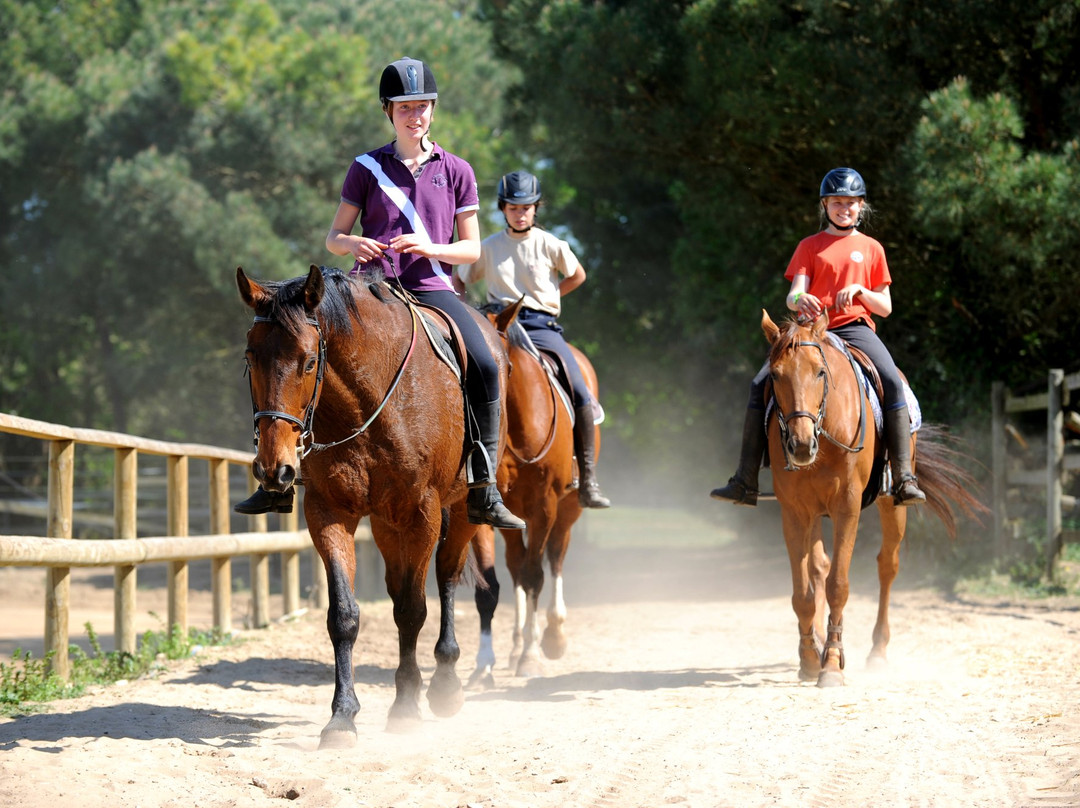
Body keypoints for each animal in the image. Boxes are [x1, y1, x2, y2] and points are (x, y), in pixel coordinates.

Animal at [238, 263, 507, 743]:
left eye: (310, 361)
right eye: (251, 358)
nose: (275, 469)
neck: (369, 401)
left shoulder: (423, 513)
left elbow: (413, 609)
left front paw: (405, 707)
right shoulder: (329, 512)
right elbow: (344, 616)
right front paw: (342, 715)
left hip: (459, 511)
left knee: (446, 579)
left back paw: (444, 684)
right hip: (385, 523)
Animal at [468, 298, 600, 682]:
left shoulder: (545, 507)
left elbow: (534, 576)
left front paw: (531, 655)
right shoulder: (485, 511)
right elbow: (491, 583)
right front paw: (486, 663)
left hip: (568, 509)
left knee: (554, 558)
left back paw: (553, 635)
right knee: (516, 564)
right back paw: (515, 644)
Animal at [764, 308, 984, 687]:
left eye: (820, 371)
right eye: (776, 375)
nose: (801, 445)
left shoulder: (847, 507)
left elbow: (839, 584)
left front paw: (832, 664)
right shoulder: (794, 511)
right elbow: (803, 592)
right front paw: (809, 658)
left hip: (892, 505)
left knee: (886, 566)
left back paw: (877, 651)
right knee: (819, 568)